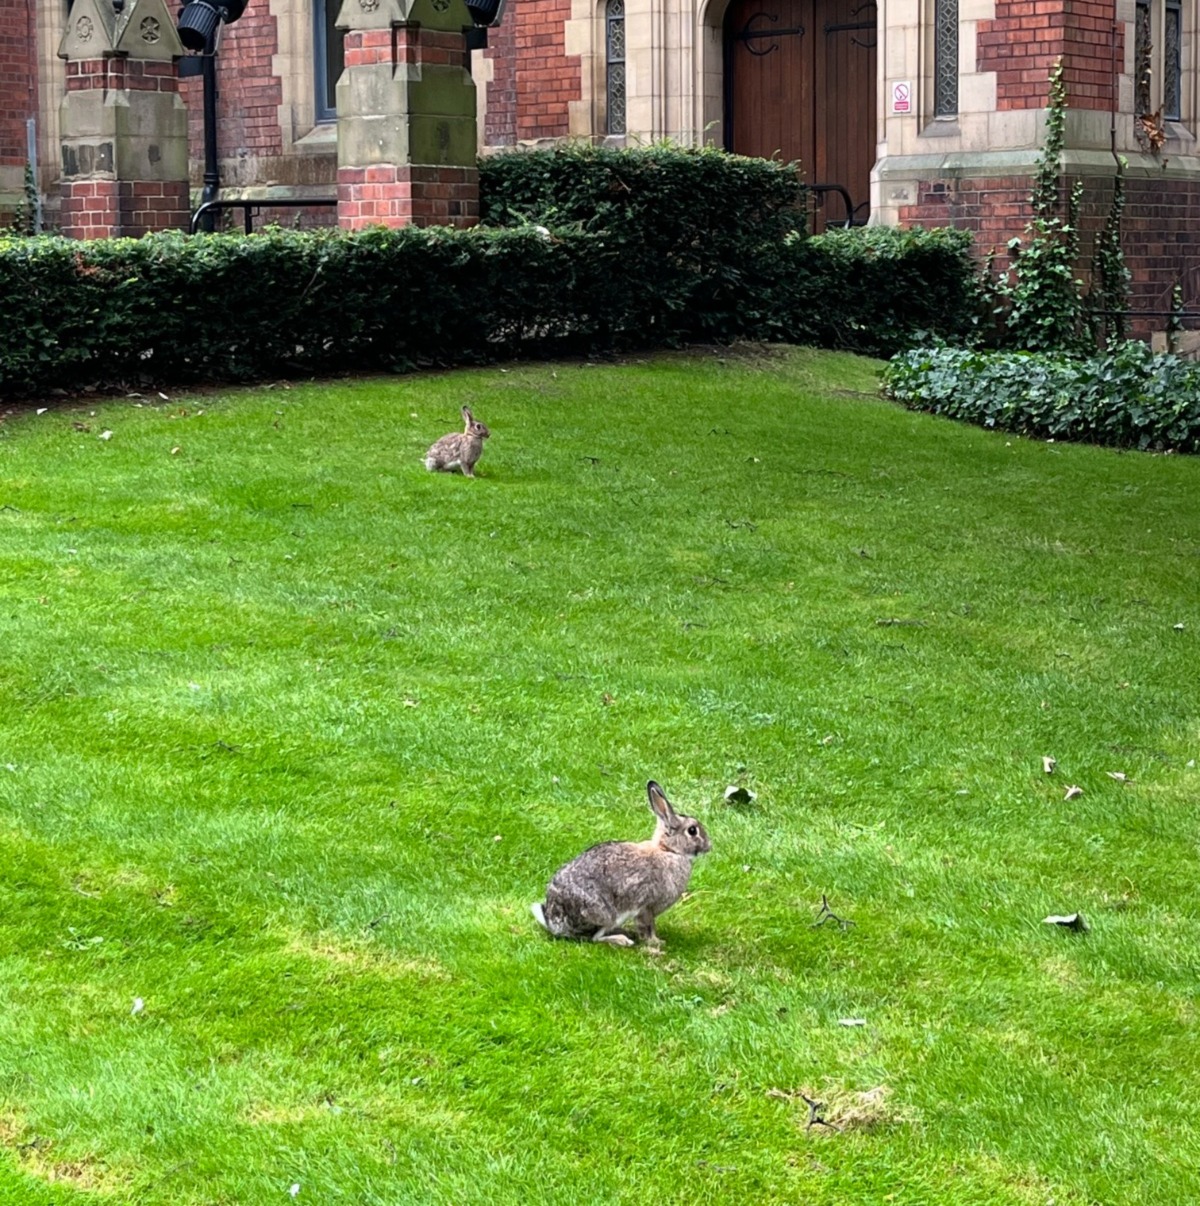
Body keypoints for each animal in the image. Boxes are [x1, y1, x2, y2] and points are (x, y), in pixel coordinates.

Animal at [531, 781, 711, 949]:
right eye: (692, 830)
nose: (709, 846)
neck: (669, 851)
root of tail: (554, 922)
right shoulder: (646, 907)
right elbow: (648, 927)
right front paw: (656, 942)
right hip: (604, 913)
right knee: (594, 938)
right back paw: (622, 939)